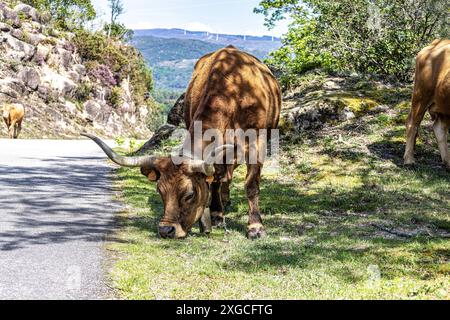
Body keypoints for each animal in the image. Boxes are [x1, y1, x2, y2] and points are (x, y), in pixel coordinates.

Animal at [83, 46, 282, 239]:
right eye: (160, 191)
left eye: (190, 194)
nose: (166, 230)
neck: (234, 91)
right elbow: (216, 179)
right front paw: (216, 215)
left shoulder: (257, 143)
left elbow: (251, 185)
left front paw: (255, 227)